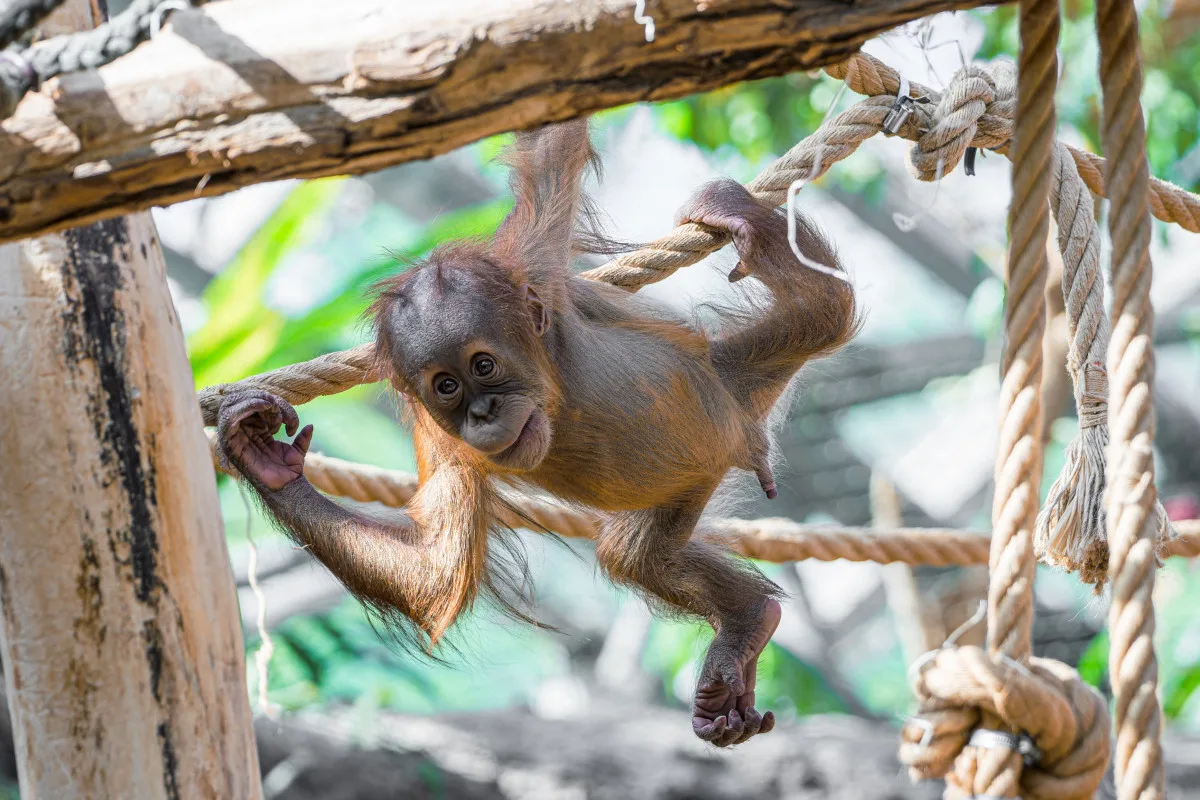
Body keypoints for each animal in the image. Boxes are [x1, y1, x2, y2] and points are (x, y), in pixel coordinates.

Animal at [217, 118, 857, 748]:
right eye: (445, 386)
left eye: (482, 365)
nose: (483, 413)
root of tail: (741, 423)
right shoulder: (439, 438)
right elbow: (433, 573)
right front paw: (264, 459)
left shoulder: (533, 263)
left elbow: (552, 153)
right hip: (692, 473)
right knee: (638, 555)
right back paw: (747, 624)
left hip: (735, 372)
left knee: (825, 305)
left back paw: (740, 215)